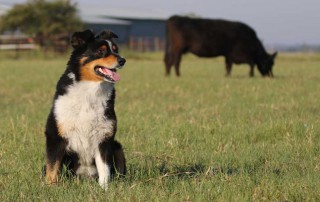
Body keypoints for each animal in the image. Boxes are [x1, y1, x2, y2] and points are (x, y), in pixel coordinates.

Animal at [45, 29, 127, 189]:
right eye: (101, 51)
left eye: (115, 50)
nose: (122, 60)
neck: (90, 91)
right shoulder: (55, 136)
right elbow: (52, 168)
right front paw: (50, 187)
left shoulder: (104, 138)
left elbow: (104, 169)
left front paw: (104, 189)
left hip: (117, 147)